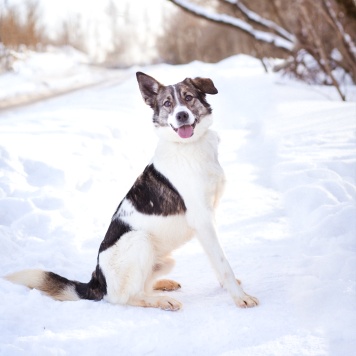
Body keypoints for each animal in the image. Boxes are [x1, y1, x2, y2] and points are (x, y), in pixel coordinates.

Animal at [4, 73, 258, 312]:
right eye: (167, 103)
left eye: (188, 97)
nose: (181, 116)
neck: (188, 147)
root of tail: (98, 281)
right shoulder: (202, 220)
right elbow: (223, 263)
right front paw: (240, 297)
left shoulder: (207, 220)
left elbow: (216, 261)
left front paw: (228, 286)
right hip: (140, 240)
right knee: (127, 297)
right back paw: (162, 301)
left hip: (165, 259)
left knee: (141, 286)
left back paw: (162, 285)